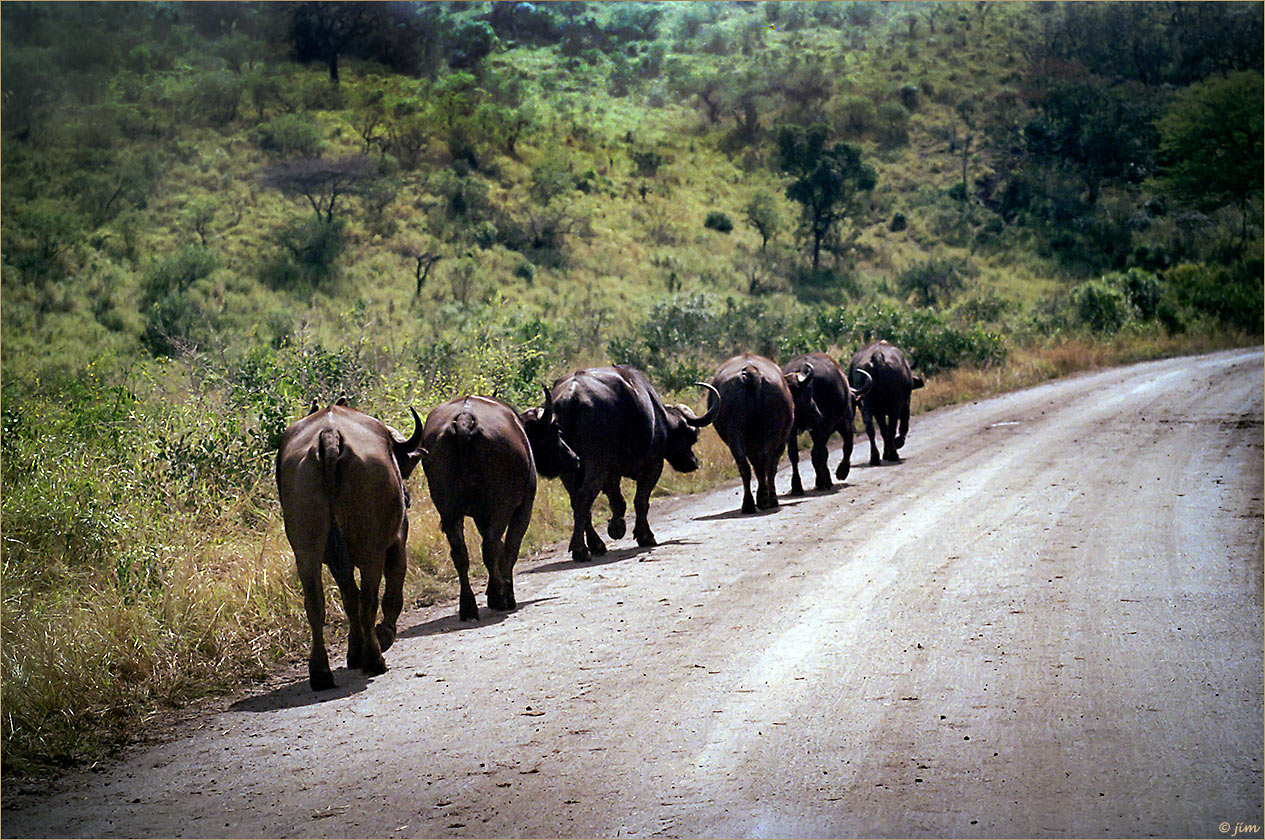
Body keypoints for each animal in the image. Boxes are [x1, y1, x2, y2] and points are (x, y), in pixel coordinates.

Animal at [274, 399, 422, 688]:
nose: (407, 497)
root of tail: (329, 435)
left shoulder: (334, 561)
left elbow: (348, 597)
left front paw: (354, 651)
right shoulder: (397, 543)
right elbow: (391, 594)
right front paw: (382, 636)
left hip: (306, 551)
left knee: (316, 604)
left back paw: (321, 672)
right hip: (371, 550)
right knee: (369, 600)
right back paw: (375, 659)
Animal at [425, 389, 581, 619]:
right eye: (555, 431)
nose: (574, 458)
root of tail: (465, 419)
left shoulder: (481, 516)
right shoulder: (523, 507)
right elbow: (510, 547)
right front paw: (505, 592)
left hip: (447, 508)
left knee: (461, 553)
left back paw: (468, 606)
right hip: (502, 505)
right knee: (491, 546)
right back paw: (500, 599)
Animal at [549, 364, 718, 561]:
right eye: (691, 436)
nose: (693, 462)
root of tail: (571, 396)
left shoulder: (612, 473)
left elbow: (618, 501)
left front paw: (617, 527)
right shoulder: (653, 465)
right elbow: (640, 500)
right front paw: (643, 535)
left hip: (568, 468)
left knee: (577, 501)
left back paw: (595, 544)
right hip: (596, 464)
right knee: (584, 497)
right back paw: (581, 550)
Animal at [713, 351, 799, 511]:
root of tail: (751, 372)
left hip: (735, 434)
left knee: (745, 465)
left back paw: (749, 504)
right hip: (771, 433)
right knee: (767, 462)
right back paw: (766, 498)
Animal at [779, 351, 870, 495]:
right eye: (808, 392)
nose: (817, 413)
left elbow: (801, 454)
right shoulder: (841, 424)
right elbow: (846, 446)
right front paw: (840, 473)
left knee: (798, 455)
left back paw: (801, 485)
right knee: (820, 452)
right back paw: (824, 481)